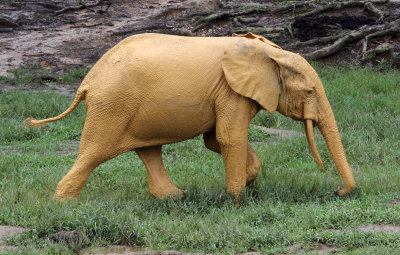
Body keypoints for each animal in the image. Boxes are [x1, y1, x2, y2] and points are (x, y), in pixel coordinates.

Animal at [25, 32, 356, 203]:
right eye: (310, 91)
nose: (337, 190)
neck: (267, 52)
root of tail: (88, 80)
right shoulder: (230, 91)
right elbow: (228, 137)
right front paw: (238, 200)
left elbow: (214, 141)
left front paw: (247, 181)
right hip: (112, 105)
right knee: (93, 152)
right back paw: (64, 202)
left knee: (148, 151)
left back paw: (175, 197)